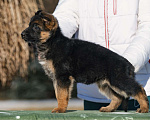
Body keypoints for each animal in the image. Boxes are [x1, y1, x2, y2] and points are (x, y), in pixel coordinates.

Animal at [21, 10, 149, 113]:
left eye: (36, 27)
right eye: (30, 25)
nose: (21, 34)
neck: (52, 42)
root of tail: (128, 65)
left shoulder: (62, 77)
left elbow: (62, 95)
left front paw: (60, 109)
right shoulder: (57, 79)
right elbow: (58, 94)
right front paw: (60, 108)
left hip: (119, 80)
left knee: (139, 89)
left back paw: (144, 108)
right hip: (106, 84)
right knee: (118, 98)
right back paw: (108, 108)